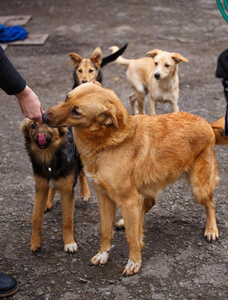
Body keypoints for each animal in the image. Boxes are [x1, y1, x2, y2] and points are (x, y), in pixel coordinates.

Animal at [20, 119, 89, 253]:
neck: (48, 156)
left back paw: (85, 192)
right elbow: (36, 217)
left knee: (82, 172)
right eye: (33, 125)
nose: (40, 136)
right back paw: (48, 202)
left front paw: (69, 243)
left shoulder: (67, 190)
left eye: (48, 124)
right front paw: (35, 242)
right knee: (53, 186)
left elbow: (68, 220)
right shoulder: (40, 187)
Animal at [41, 82, 227, 276]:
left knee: (211, 204)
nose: (43, 117)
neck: (107, 143)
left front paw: (134, 262)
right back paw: (126, 221)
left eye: (76, 111)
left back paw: (211, 230)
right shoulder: (105, 198)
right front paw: (102, 255)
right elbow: (105, 231)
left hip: (199, 188)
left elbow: (131, 238)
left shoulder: (128, 200)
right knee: (149, 204)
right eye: (66, 97)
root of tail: (207, 124)